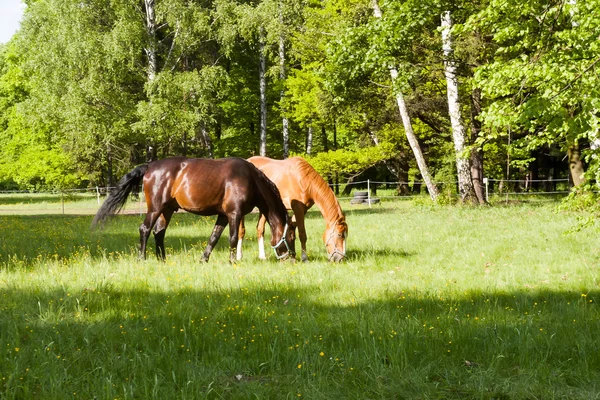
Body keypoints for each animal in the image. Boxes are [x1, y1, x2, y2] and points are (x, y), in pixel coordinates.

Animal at [92, 158, 296, 264]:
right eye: (292, 236)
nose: (292, 259)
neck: (250, 179)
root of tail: (150, 166)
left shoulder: (223, 216)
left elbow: (213, 238)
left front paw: (203, 259)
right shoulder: (234, 214)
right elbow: (232, 238)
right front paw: (232, 262)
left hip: (167, 210)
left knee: (159, 232)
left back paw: (162, 260)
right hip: (155, 208)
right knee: (145, 229)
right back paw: (142, 259)